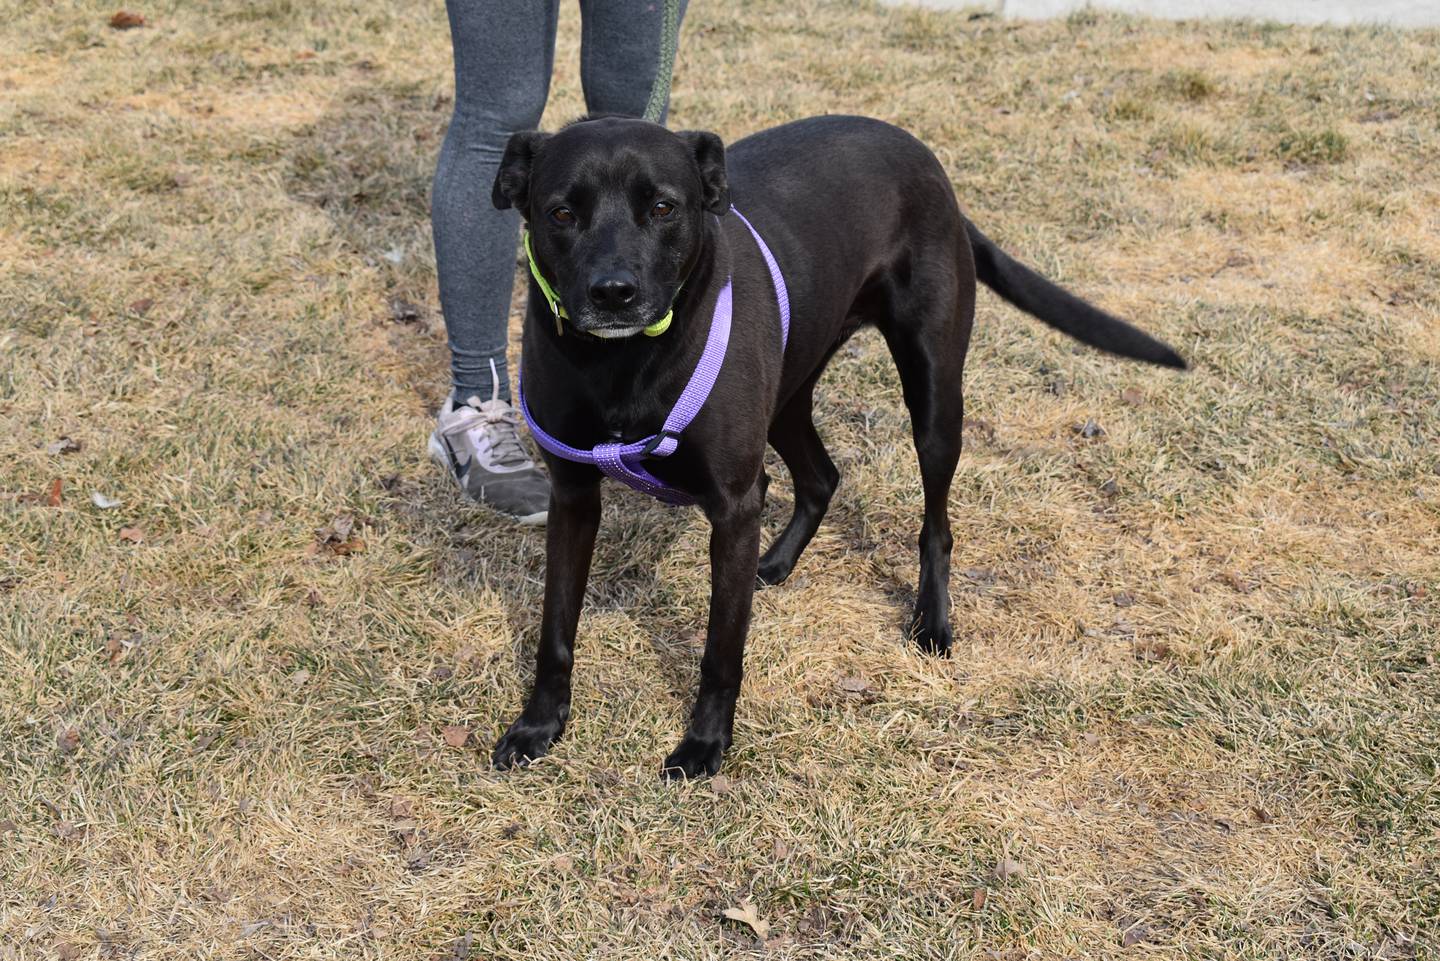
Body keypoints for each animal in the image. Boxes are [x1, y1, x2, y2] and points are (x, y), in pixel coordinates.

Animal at [489, 114, 1184, 778]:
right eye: (560, 213)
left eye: (662, 207)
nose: (613, 293)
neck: (622, 363)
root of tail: (920, 154)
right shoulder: (573, 496)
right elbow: (556, 628)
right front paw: (539, 726)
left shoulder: (733, 506)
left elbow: (722, 648)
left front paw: (705, 744)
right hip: (790, 393)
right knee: (821, 476)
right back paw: (775, 563)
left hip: (934, 395)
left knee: (935, 522)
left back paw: (931, 620)